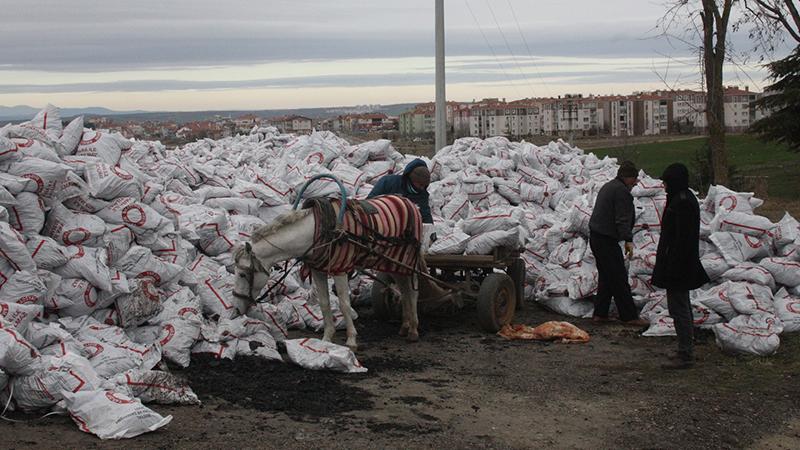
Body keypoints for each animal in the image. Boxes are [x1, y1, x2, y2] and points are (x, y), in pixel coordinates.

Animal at [233, 200, 424, 352]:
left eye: (242, 274)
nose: (236, 309)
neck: (317, 232)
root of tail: (409, 203)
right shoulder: (318, 271)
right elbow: (324, 303)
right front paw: (326, 338)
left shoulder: (340, 269)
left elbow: (344, 304)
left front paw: (351, 340)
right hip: (394, 264)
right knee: (404, 290)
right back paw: (405, 326)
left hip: (407, 261)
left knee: (413, 292)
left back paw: (414, 330)